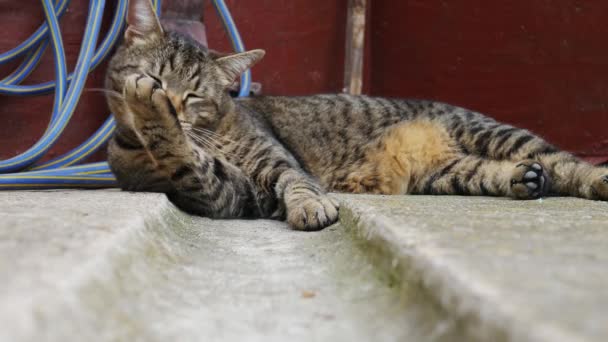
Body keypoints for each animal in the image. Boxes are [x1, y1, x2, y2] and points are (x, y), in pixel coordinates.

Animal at [107, 0, 608, 230]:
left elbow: (295, 180)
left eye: (193, 95)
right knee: (503, 171)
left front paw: (311, 206)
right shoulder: (227, 193)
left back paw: (593, 179)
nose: (168, 101)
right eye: (155, 75)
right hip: (451, 172)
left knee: (565, 163)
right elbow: (188, 160)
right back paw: (524, 178)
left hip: (491, 133)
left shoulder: (273, 163)